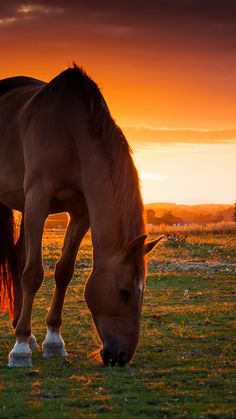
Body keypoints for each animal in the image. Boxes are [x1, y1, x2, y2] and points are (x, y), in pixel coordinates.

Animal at [0, 65, 162, 368]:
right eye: (124, 291)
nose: (121, 356)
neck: (70, 135)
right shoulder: (38, 202)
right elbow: (33, 274)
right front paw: (20, 350)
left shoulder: (80, 213)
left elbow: (63, 271)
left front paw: (53, 342)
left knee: (18, 256)